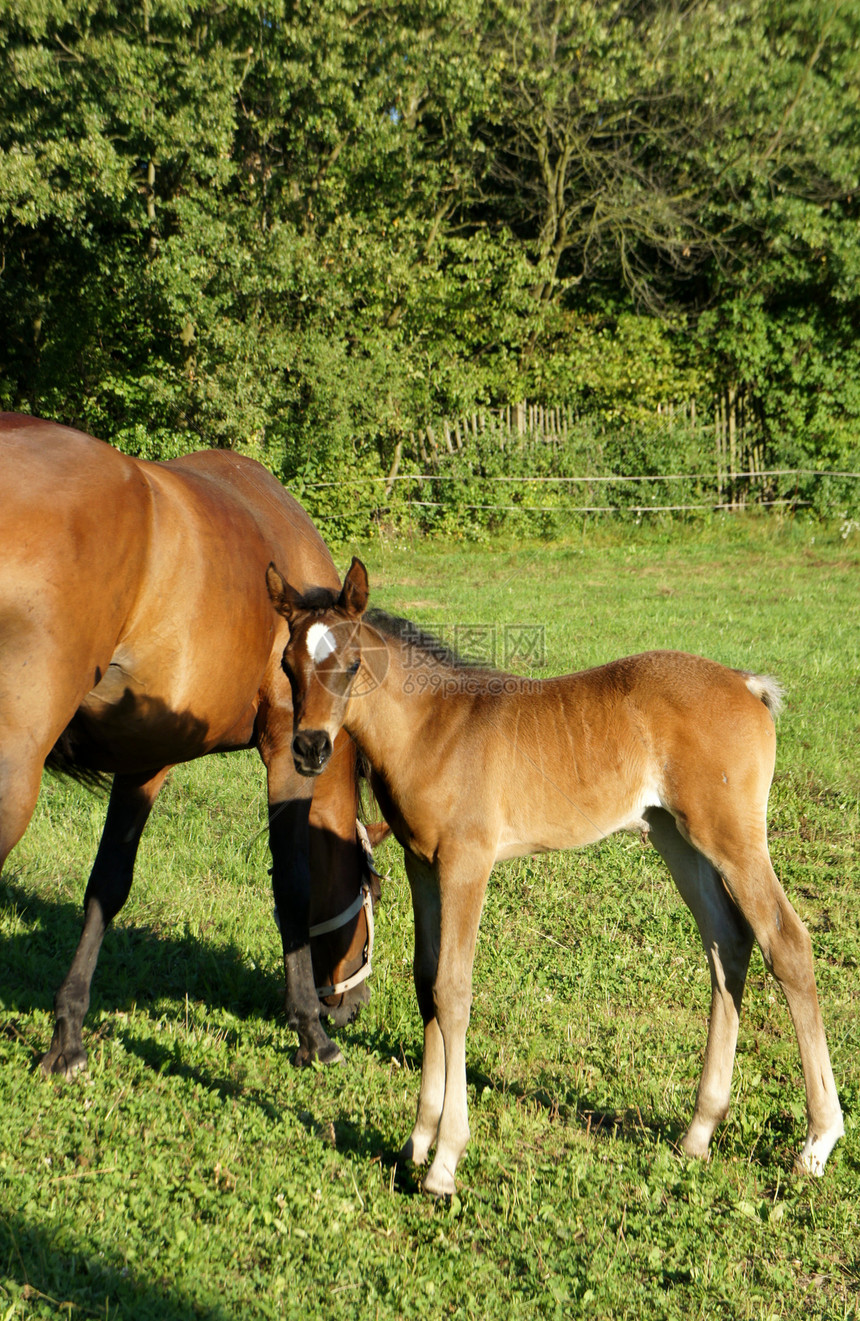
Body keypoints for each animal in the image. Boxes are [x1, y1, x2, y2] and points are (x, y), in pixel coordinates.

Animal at [0, 417, 377, 1077]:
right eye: (369, 889)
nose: (349, 1006)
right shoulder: (285, 752)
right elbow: (292, 884)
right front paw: (310, 1031)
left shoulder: (144, 762)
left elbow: (107, 885)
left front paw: (67, 1037)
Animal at [265, 557, 845, 1199]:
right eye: (287, 664)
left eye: (351, 665)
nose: (310, 748)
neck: (433, 730)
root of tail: (746, 684)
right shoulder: (423, 866)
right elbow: (426, 984)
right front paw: (416, 1143)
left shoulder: (467, 865)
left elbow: (453, 990)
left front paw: (445, 1160)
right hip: (677, 838)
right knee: (728, 945)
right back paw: (699, 1132)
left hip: (733, 840)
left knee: (786, 943)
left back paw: (817, 1142)